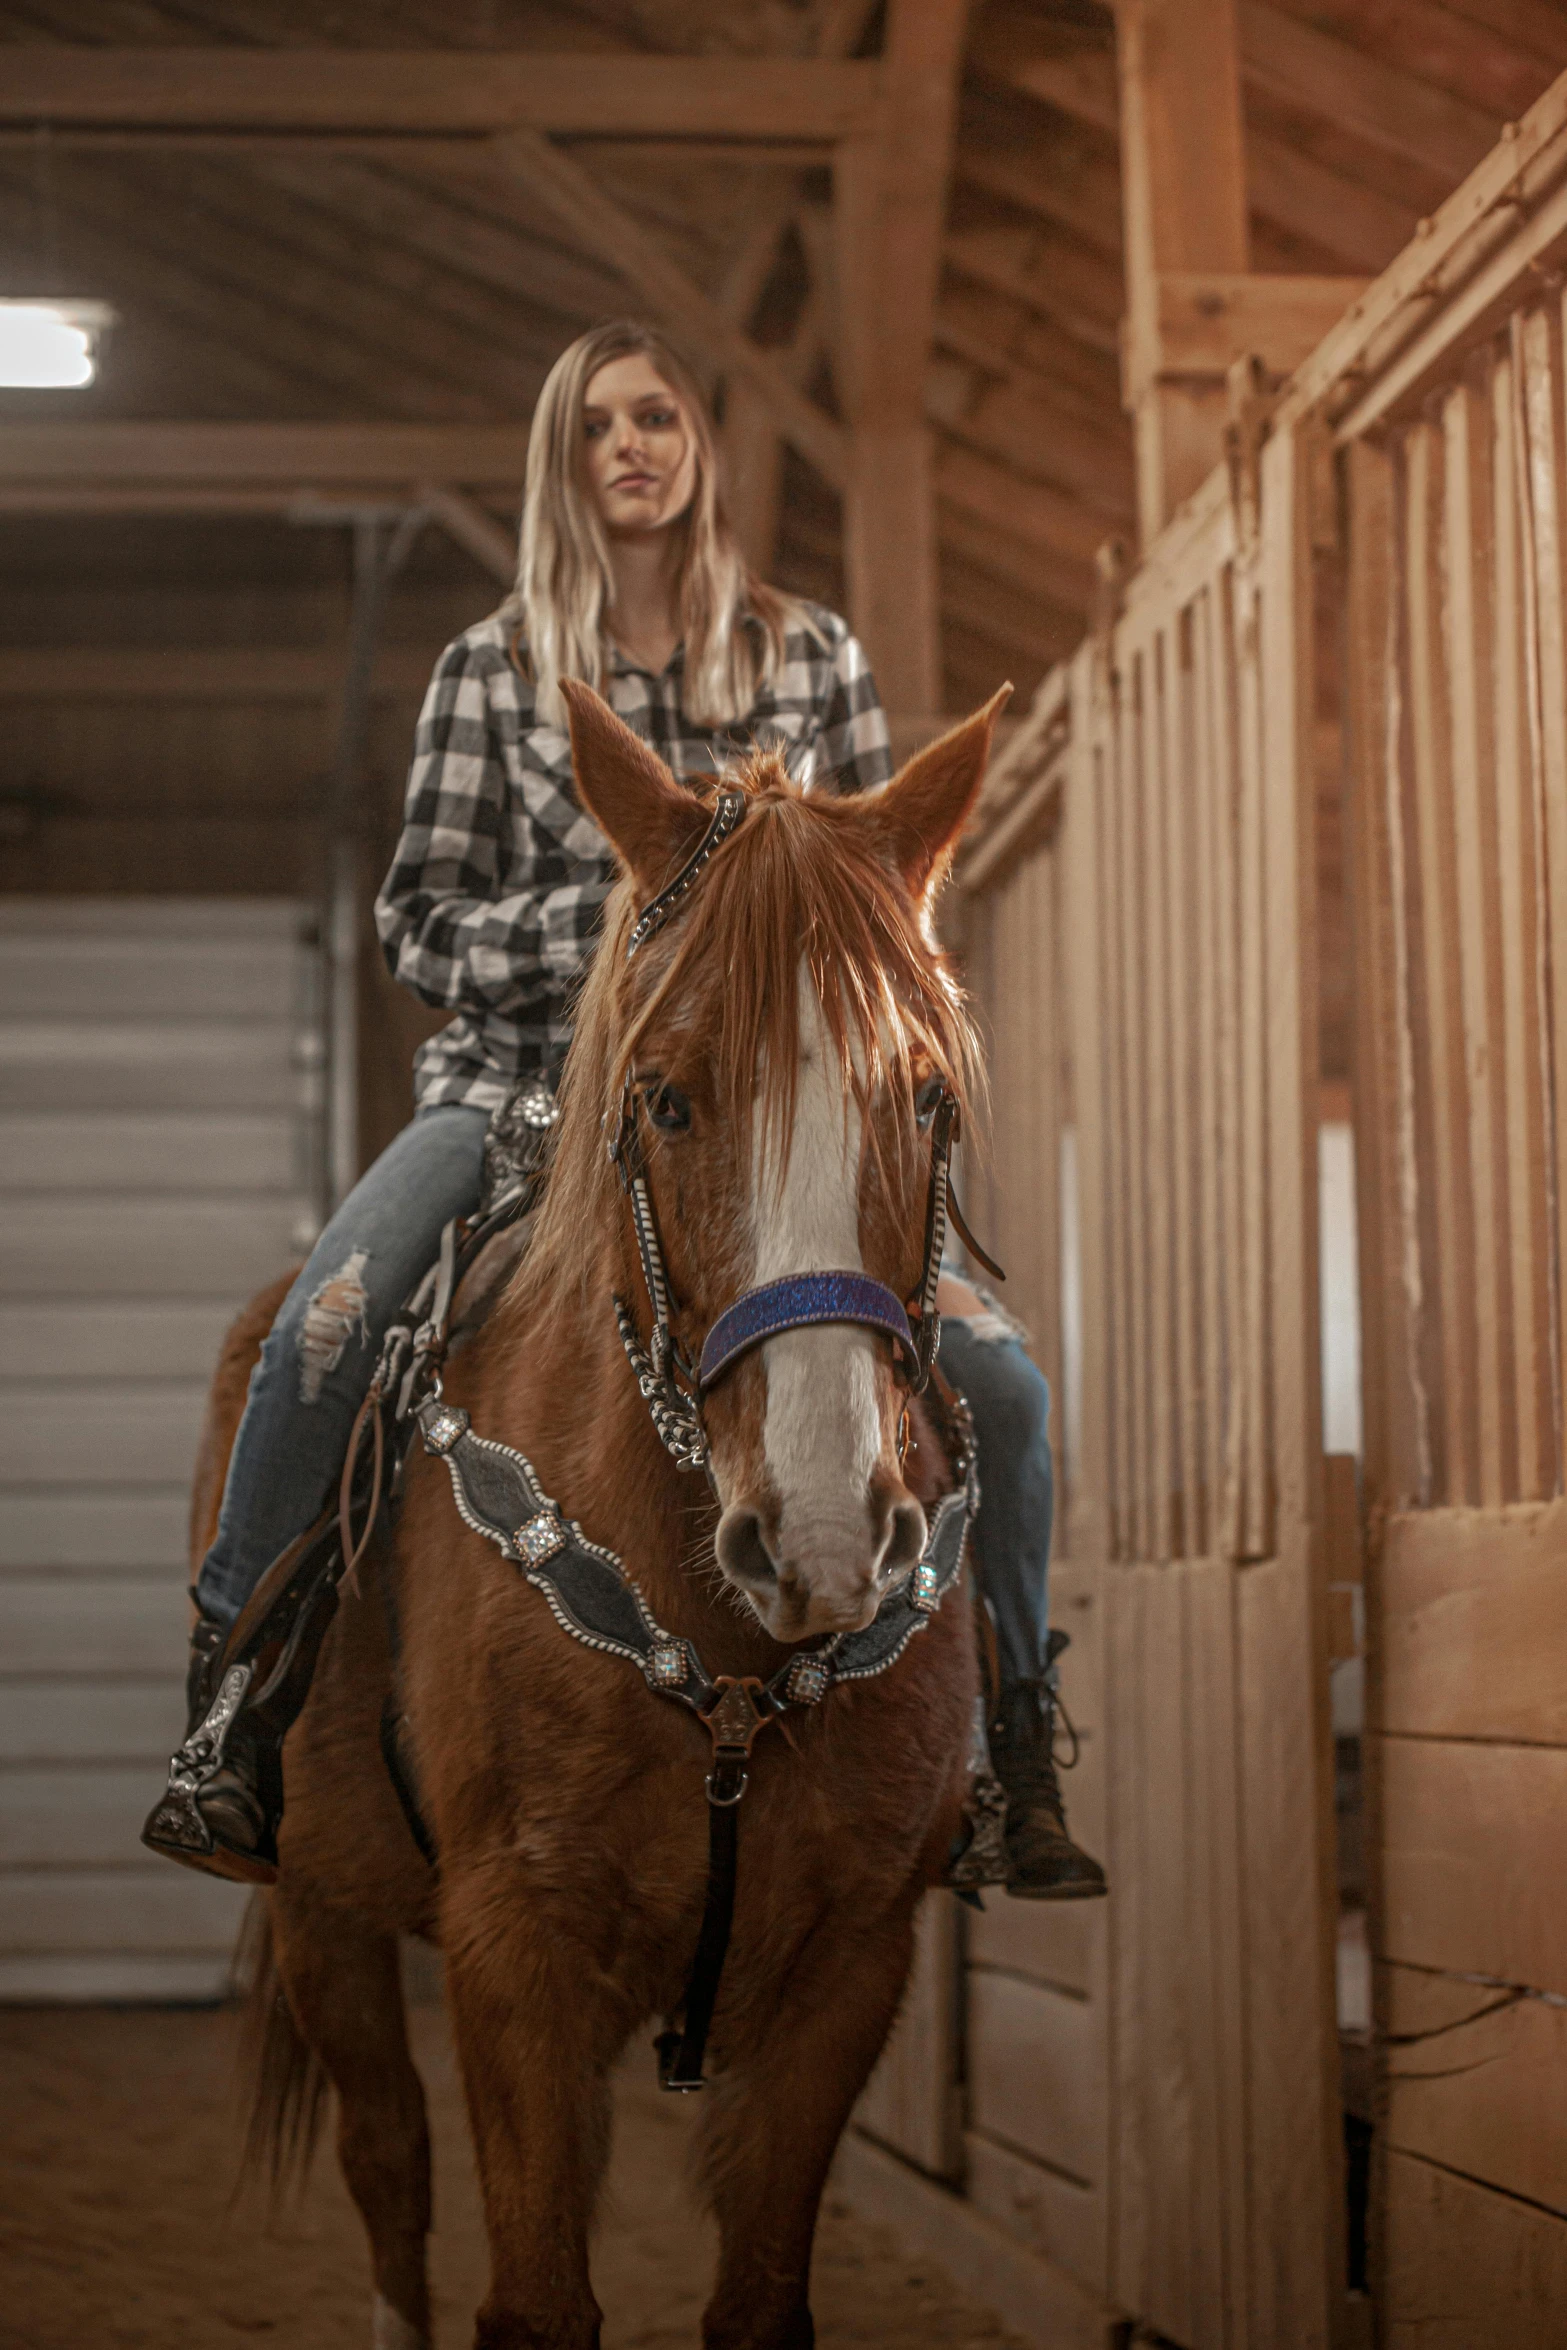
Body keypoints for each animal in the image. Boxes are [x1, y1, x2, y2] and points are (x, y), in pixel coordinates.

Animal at [220, 686, 1005, 2350]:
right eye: (663, 1095)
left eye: (926, 1093)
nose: (821, 1531)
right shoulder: (514, 1951)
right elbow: (528, 2297)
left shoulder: (849, 1965)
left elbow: (758, 2299)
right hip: (323, 1913)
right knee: (388, 2170)